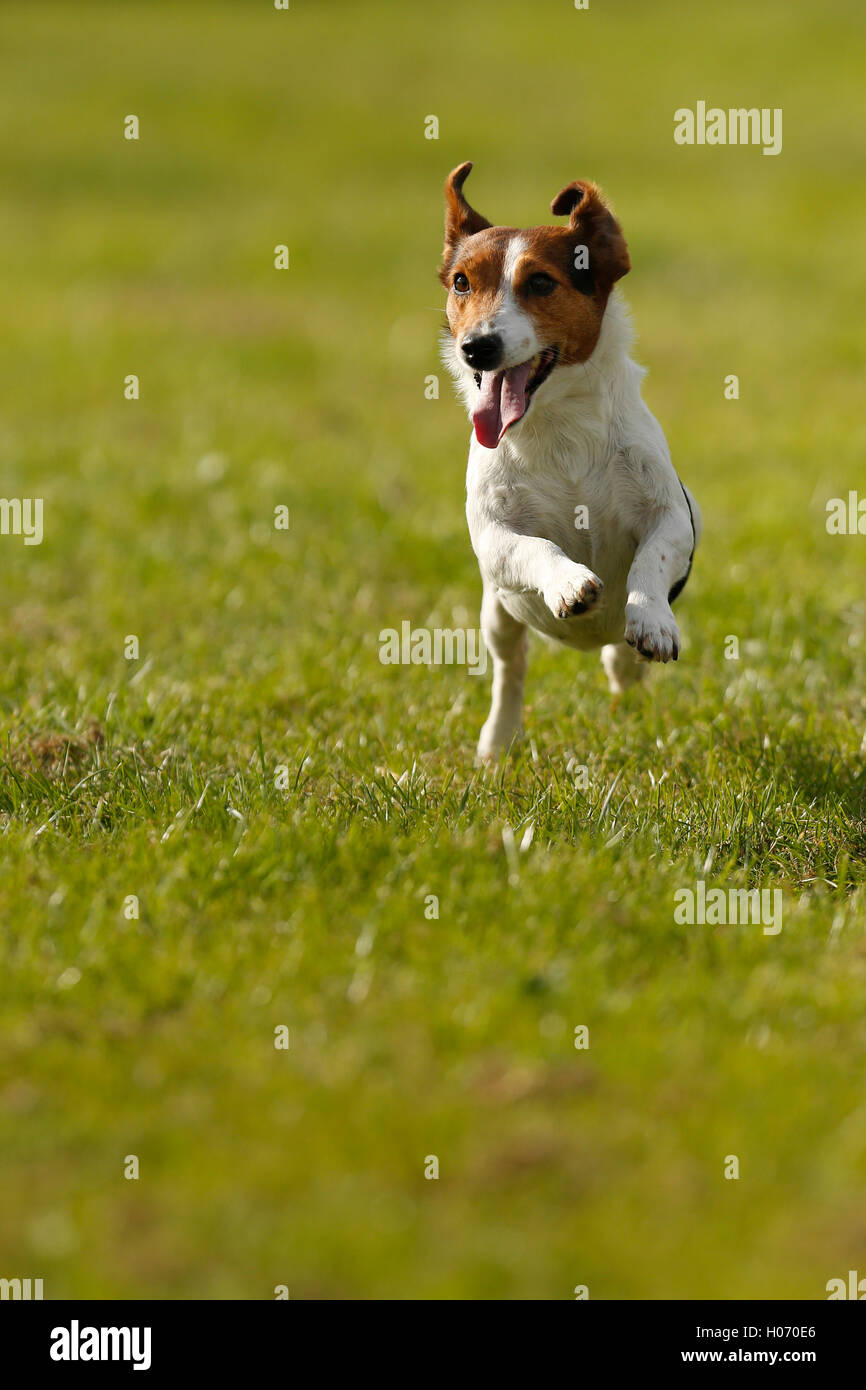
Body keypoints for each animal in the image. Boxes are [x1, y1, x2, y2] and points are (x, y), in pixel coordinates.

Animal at [439, 168, 706, 767]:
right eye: (462, 283)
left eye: (541, 283)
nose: (476, 347)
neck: (558, 423)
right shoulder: (493, 537)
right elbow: (536, 547)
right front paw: (569, 584)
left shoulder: (673, 516)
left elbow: (650, 560)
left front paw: (651, 621)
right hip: (497, 614)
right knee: (510, 669)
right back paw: (498, 740)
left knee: (619, 657)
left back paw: (625, 658)